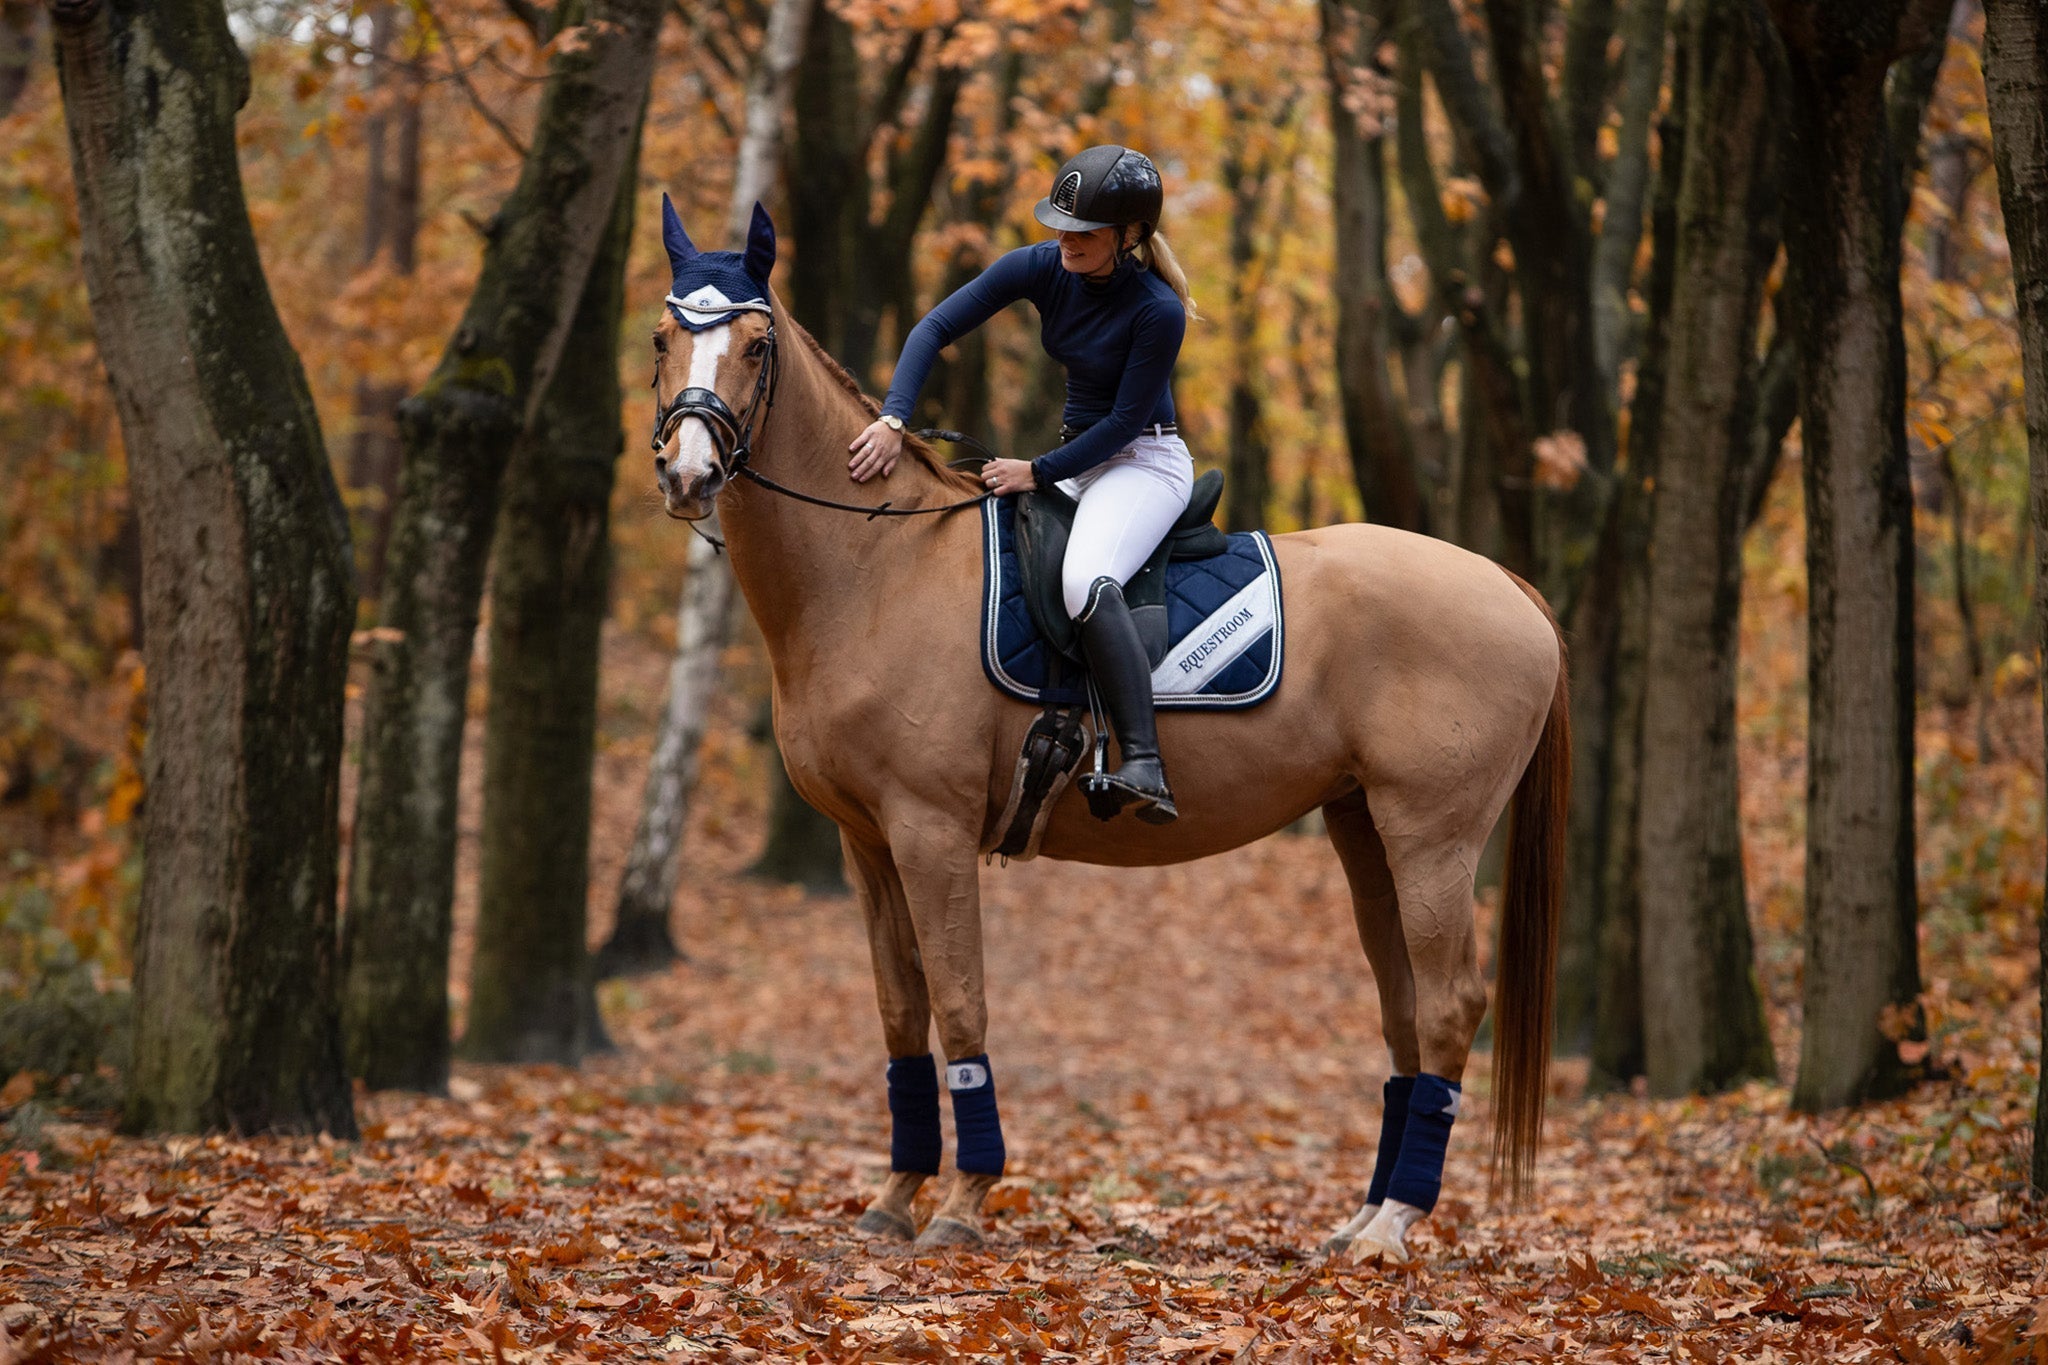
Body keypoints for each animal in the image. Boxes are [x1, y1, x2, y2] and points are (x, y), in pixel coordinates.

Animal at [647, 208, 1556, 1268]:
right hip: (1365, 830)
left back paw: (1396, 1222)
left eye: (757, 346)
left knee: (1449, 1005)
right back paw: (1364, 1217)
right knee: (1405, 1006)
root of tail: (1511, 586)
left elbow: (960, 1003)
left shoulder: (929, 832)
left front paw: (961, 1201)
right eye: (662, 339)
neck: (876, 564)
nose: (689, 472)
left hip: (1434, 839)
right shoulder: (865, 841)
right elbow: (901, 1011)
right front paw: (896, 1195)